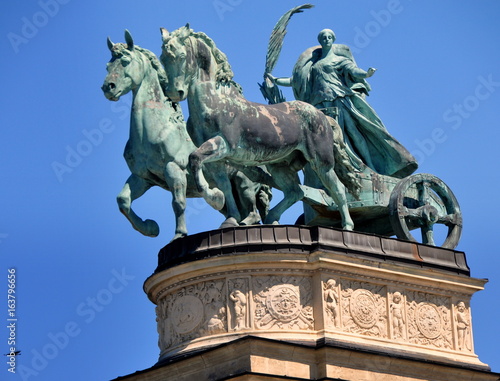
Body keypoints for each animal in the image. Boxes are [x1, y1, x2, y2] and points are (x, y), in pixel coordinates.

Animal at [100, 30, 270, 240]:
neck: (156, 130)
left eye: (125, 60)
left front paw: (179, 234)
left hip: (243, 182)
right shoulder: (143, 177)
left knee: (252, 209)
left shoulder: (174, 169)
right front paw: (150, 227)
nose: (108, 87)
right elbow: (123, 200)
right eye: (108, 65)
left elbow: (178, 203)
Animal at [160, 26, 360, 230]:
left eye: (181, 55)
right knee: (295, 191)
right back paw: (272, 217)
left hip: (321, 161)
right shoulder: (217, 159)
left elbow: (194, 159)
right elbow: (223, 184)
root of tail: (324, 117)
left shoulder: (225, 145)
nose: (174, 92)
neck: (216, 101)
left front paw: (216, 198)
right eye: (163, 57)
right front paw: (230, 217)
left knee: (337, 188)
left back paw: (347, 226)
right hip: (279, 165)